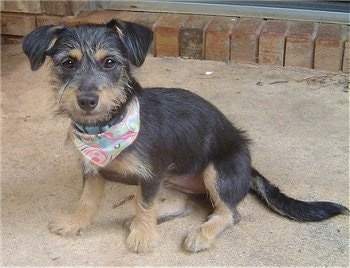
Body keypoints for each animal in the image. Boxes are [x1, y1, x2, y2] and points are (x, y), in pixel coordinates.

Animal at [21, 19, 348, 253]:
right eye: (68, 63)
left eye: (110, 62)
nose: (87, 101)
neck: (107, 127)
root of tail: (249, 168)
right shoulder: (93, 170)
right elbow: (87, 201)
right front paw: (75, 223)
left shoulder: (151, 174)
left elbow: (144, 202)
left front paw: (143, 236)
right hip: (175, 177)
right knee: (182, 204)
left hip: (217, 170)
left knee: (229, 213)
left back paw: (199, 234)